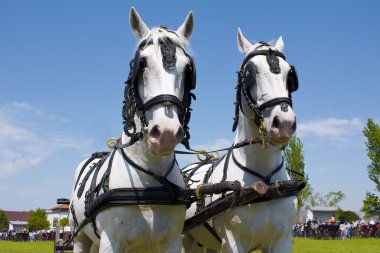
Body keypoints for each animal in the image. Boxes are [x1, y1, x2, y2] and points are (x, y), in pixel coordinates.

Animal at [68, 6, 197, 252]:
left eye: (187, 69)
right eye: (142, 63)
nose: (166, 133)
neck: (150, 177)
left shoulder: (172, 242)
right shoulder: (110, 242)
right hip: (80, 238)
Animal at [183, 28, 298, 253]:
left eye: (289, 75)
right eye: (248, 74)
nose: (284, 123)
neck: (264, 181)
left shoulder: (282, 240)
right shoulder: (233, 241)